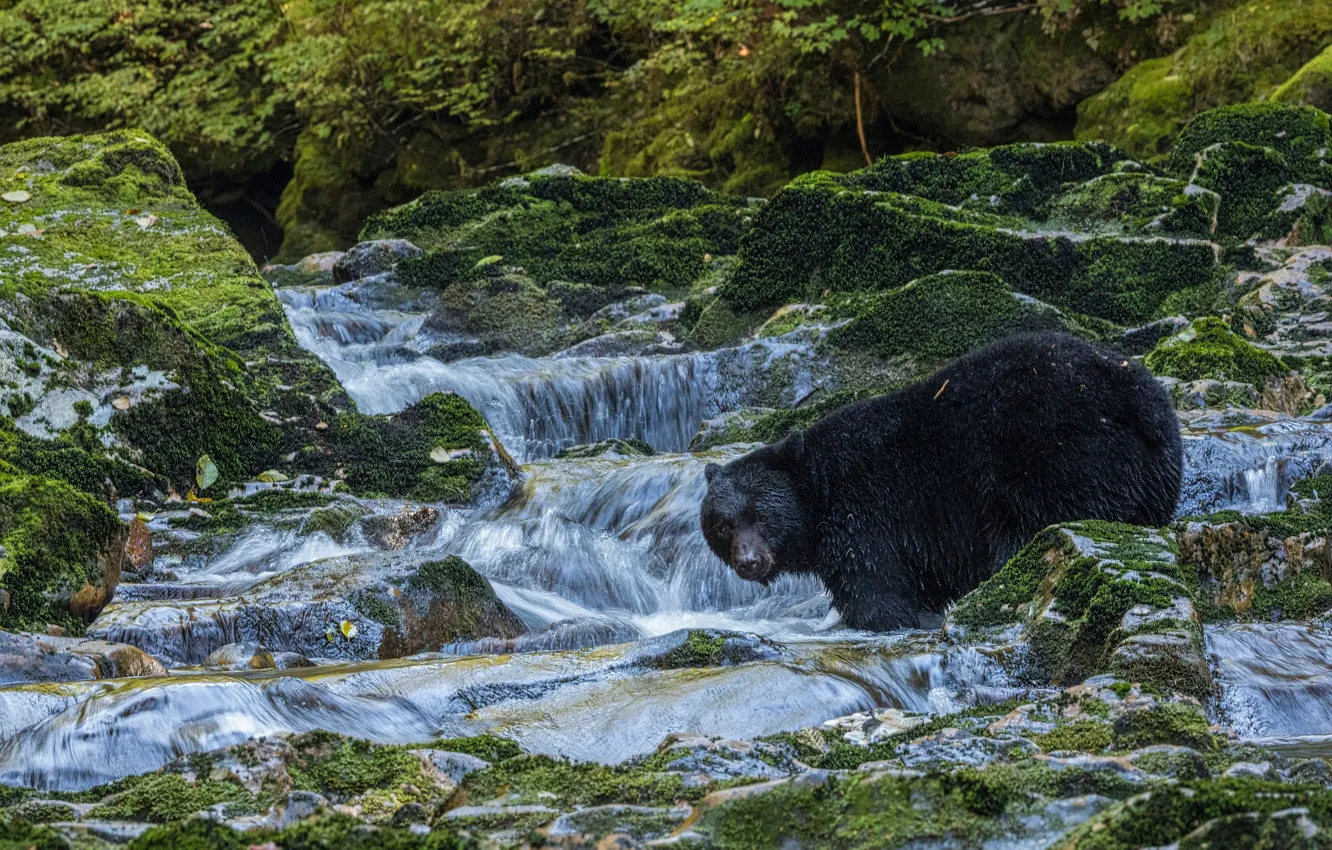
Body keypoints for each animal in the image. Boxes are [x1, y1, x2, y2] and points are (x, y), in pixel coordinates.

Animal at [703, 333, 1182, 634]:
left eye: (762, 516)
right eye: (724, 524)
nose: (748, 561)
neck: (819, 492)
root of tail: (1142, 405)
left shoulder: (863, 516)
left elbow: (875, 590)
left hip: (1059, 465)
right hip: (1150, 478)